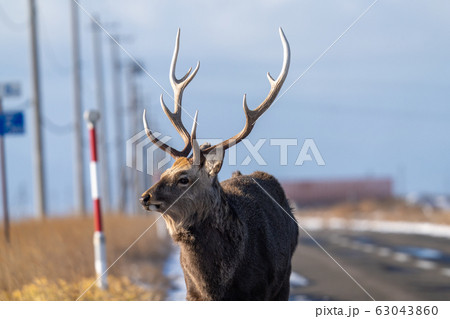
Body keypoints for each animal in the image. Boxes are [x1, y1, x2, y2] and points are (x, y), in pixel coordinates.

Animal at [139, 28, 298, 302]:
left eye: (184, 178)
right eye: (167, 171)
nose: (145, 197)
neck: (217, 287)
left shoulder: (260, 291)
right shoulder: (191, 293)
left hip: (284, 281)